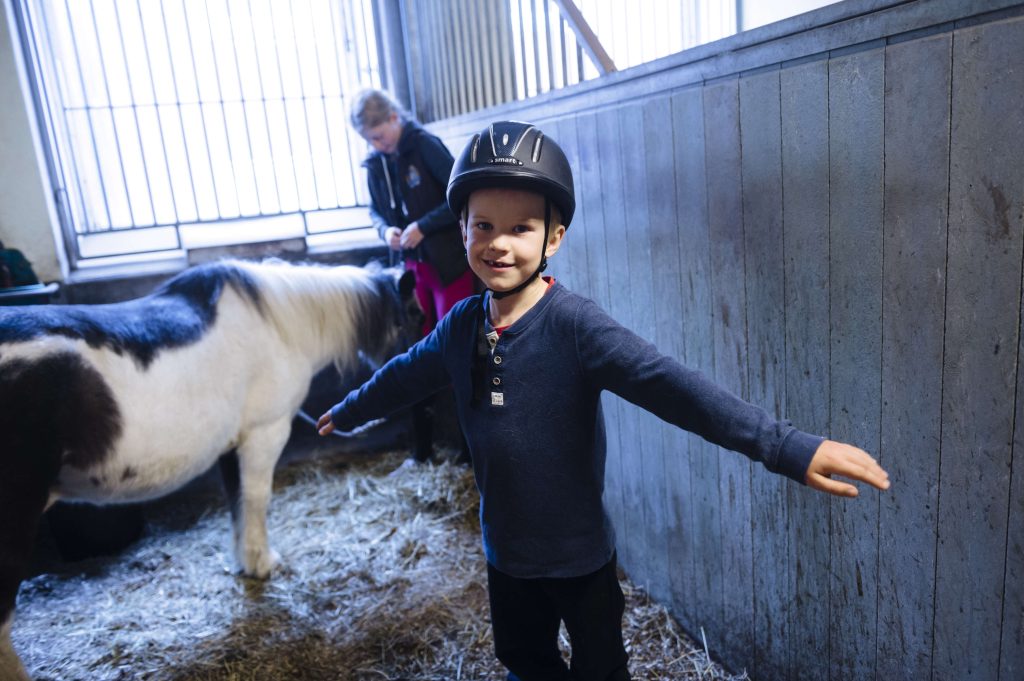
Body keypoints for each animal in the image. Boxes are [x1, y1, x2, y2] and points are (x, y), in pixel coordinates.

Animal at [0, 258, 417, 675]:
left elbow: (238, 503)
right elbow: (256, 500)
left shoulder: (231, 447)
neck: (280, 323)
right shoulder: (265, 434)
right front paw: (262, 563)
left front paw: (245, 563)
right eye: (409, 316)